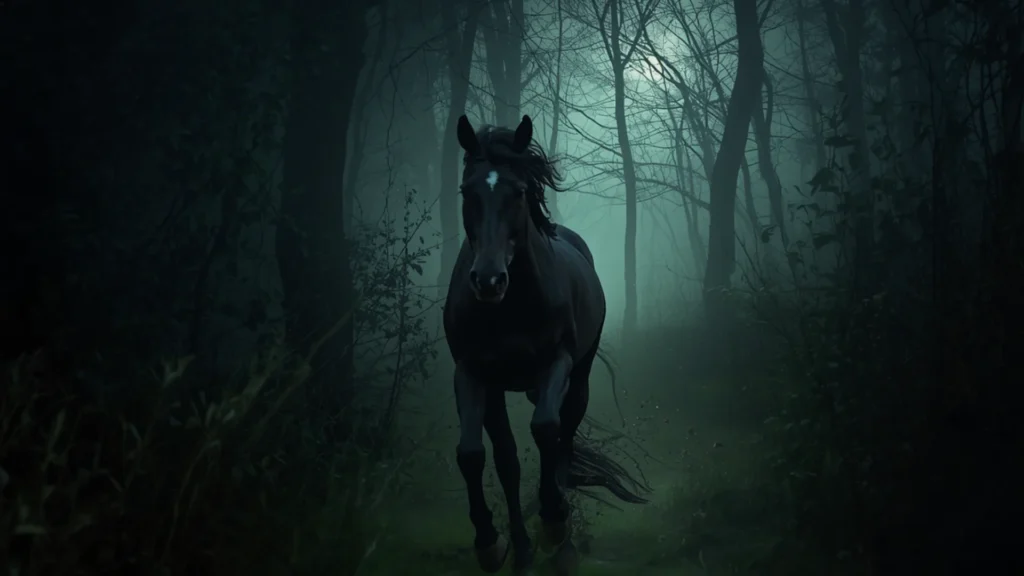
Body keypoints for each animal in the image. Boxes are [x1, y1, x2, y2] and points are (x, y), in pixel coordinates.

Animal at [443, 114, 649, 575]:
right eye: (466, 191)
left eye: (519, 192)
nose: (489, 280)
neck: (510, 307)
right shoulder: (472, 372)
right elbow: (471, 454)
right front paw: (489, 542)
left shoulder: (555, 363)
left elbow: (546, 429)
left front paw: (554, 520)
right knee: (508, 462)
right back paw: (522, 551)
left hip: (580, 375)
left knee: (564, 441)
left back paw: (562, 540)